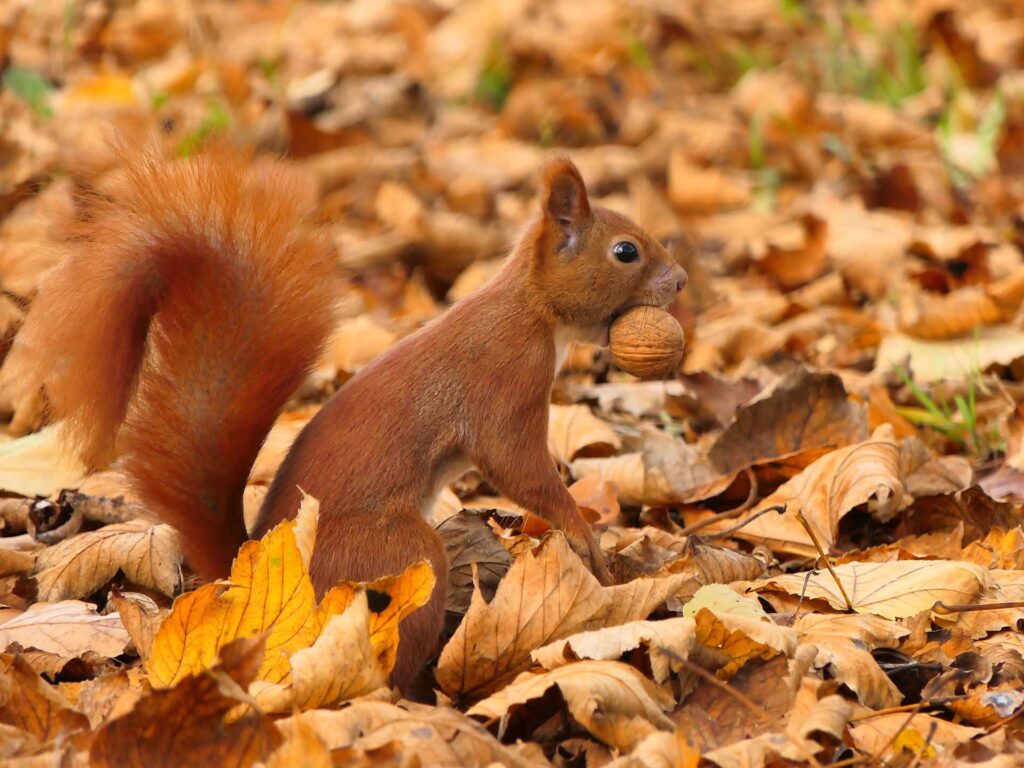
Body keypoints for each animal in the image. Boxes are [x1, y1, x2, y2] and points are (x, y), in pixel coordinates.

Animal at [5, 147, 687, 690]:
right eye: (625, 252)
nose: (680, 282)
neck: (531, 308)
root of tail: (258, 568)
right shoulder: (505, 386)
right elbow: (519, 467)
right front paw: (582, 532)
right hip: (393, 552)